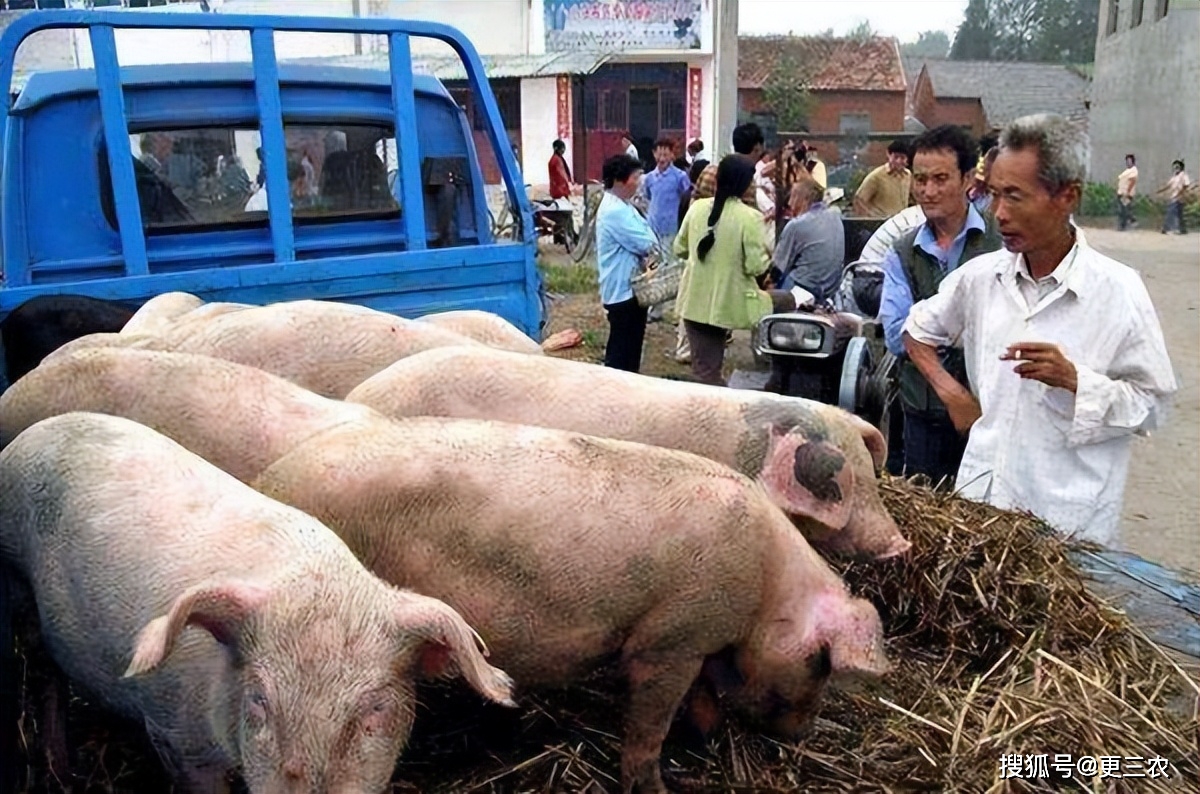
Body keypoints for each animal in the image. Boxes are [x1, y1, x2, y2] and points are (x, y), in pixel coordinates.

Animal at [0, 412, 511, 794]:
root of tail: (35, 432)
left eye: (374, 709)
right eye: (260, 701)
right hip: (18, 582)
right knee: (45, 673)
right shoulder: (174, 732)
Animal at [253, 417, 892, 794]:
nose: (802, 733)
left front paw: (702, 738)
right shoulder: (669, 639)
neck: (766, 587)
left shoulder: (701, 639)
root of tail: (270, 480)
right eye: (821, 663)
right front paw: (657, 786)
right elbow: (650, 721)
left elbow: (705, 699)